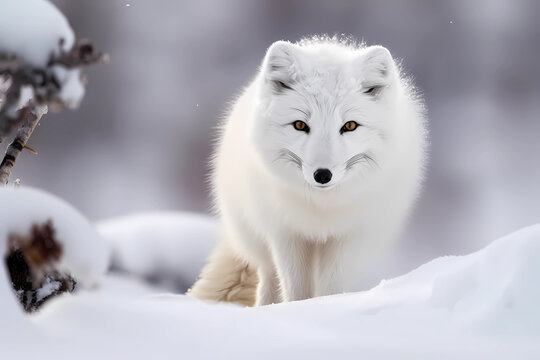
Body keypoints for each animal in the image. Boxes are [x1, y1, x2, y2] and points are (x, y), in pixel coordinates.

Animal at [190, 37, 426, 306]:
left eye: (350, 126)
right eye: (300, 125)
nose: (323, 175)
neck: (320, 210)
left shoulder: (348, 238)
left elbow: (332, 289)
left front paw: (325, 307)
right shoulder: (286, 234)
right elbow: (295, 290)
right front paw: (298, 309)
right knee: (269, 278)